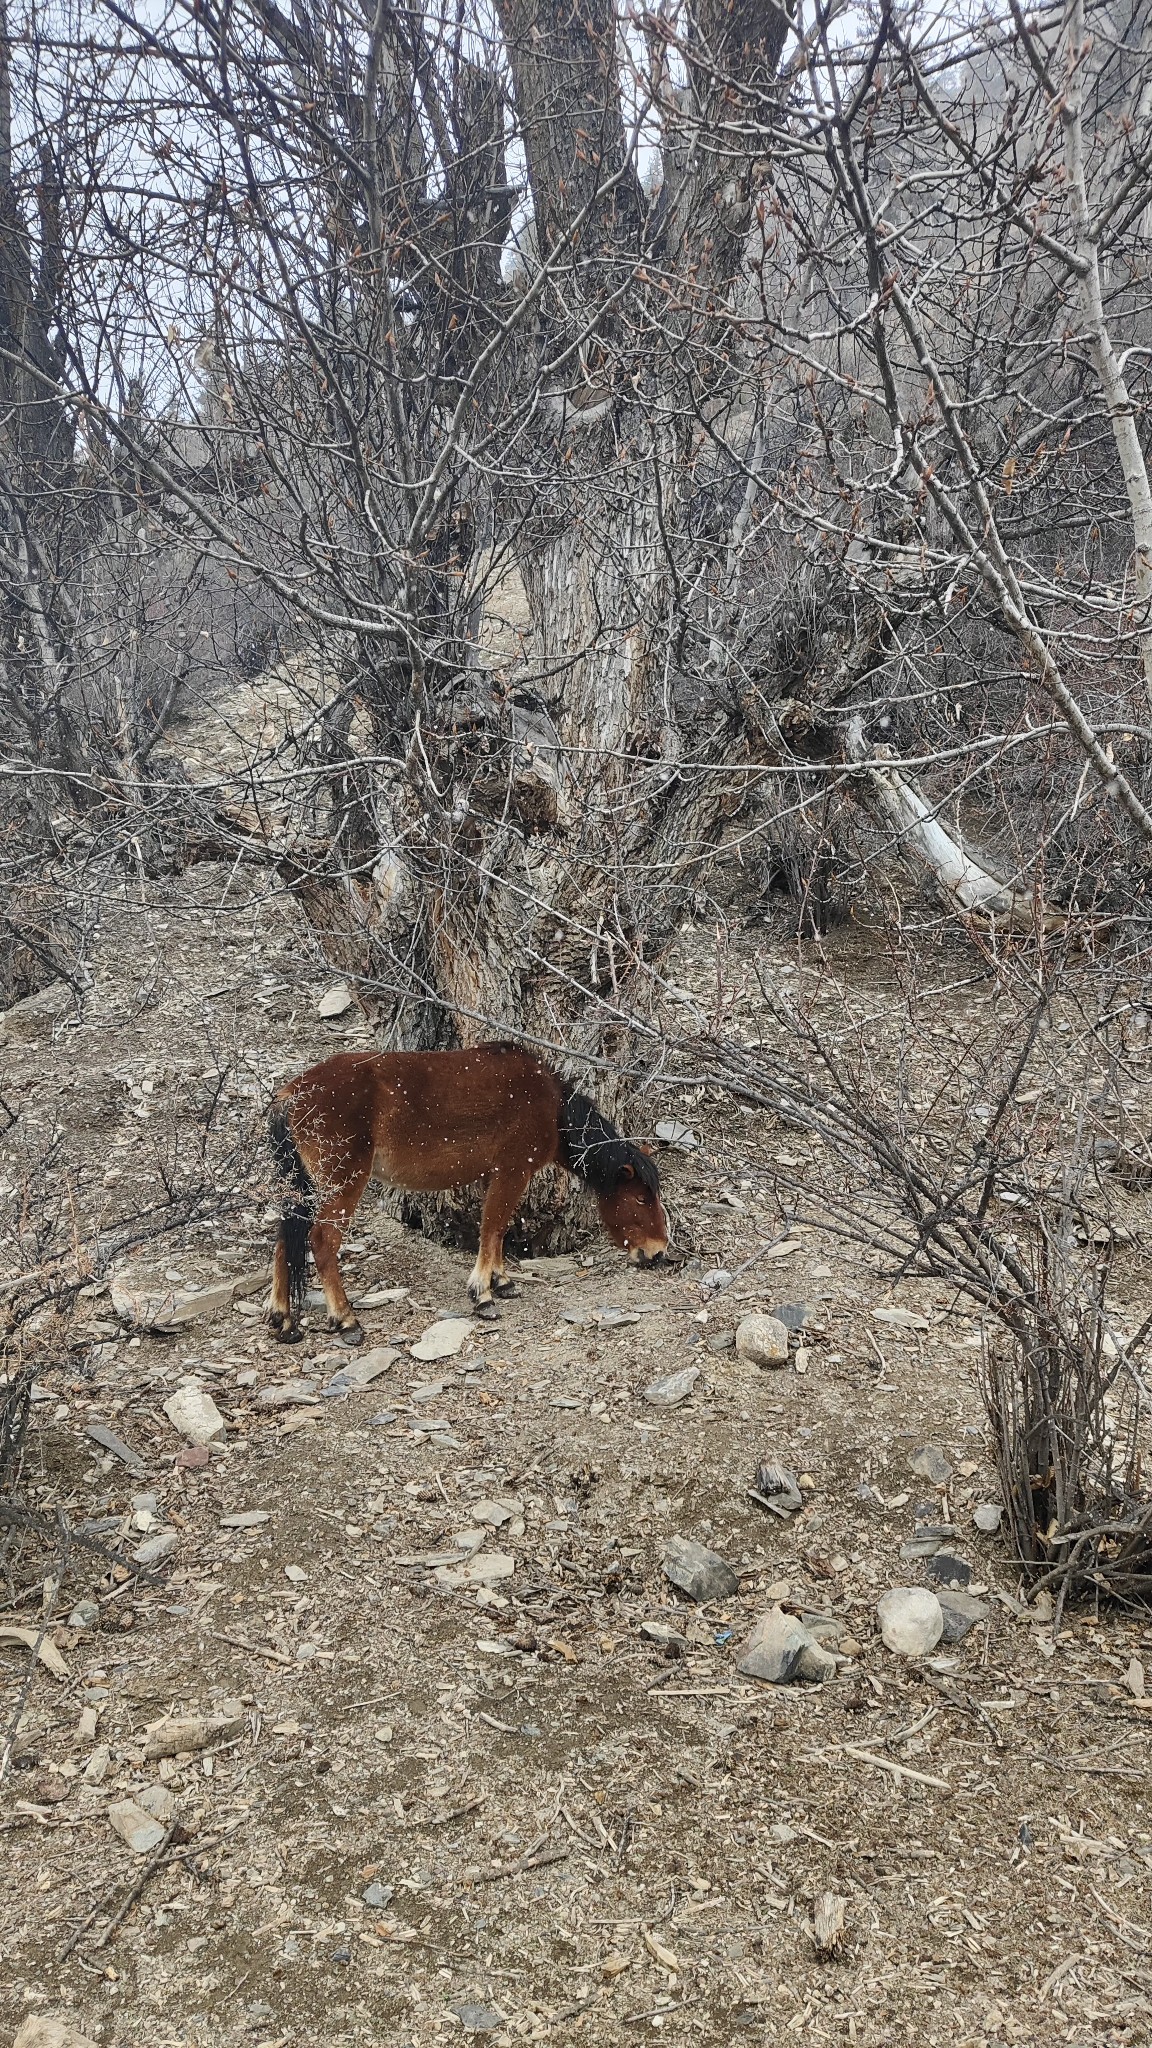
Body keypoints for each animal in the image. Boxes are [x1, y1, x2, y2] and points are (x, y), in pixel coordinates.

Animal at [266, 1040, 668, 1343]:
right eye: (641, 1198)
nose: (659, 1252)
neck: (550, 1105)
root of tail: (292, 1094)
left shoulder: (500, 1176)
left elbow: (498, 1230)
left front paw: (502, 1281)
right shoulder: (512, 1172)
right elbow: (493, 1227)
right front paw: (483, 1295)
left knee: (286, 1238)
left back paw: (283, 1320)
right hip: (344, 1182)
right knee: (322, 1241)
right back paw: (345, 1319)